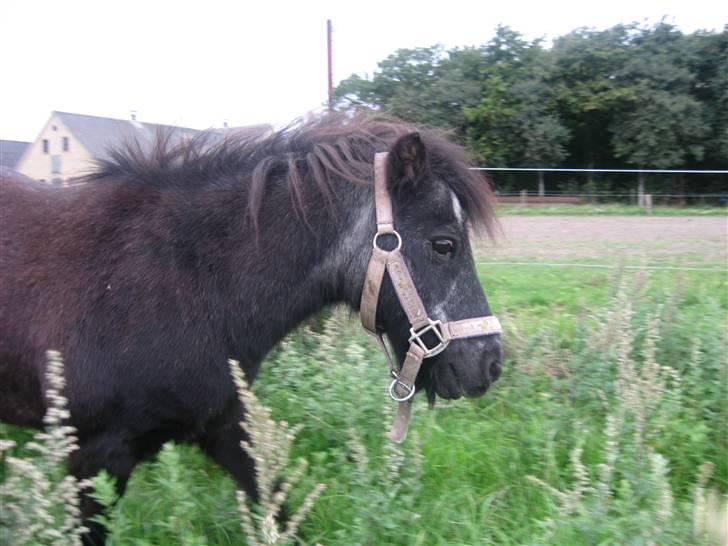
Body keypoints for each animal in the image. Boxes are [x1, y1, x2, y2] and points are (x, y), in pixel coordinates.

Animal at [0, 113, 500, 540]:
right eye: (444, 244)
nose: (489, 364)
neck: (182, 276)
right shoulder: (96, 456)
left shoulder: (225, 427)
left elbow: (281, 510)